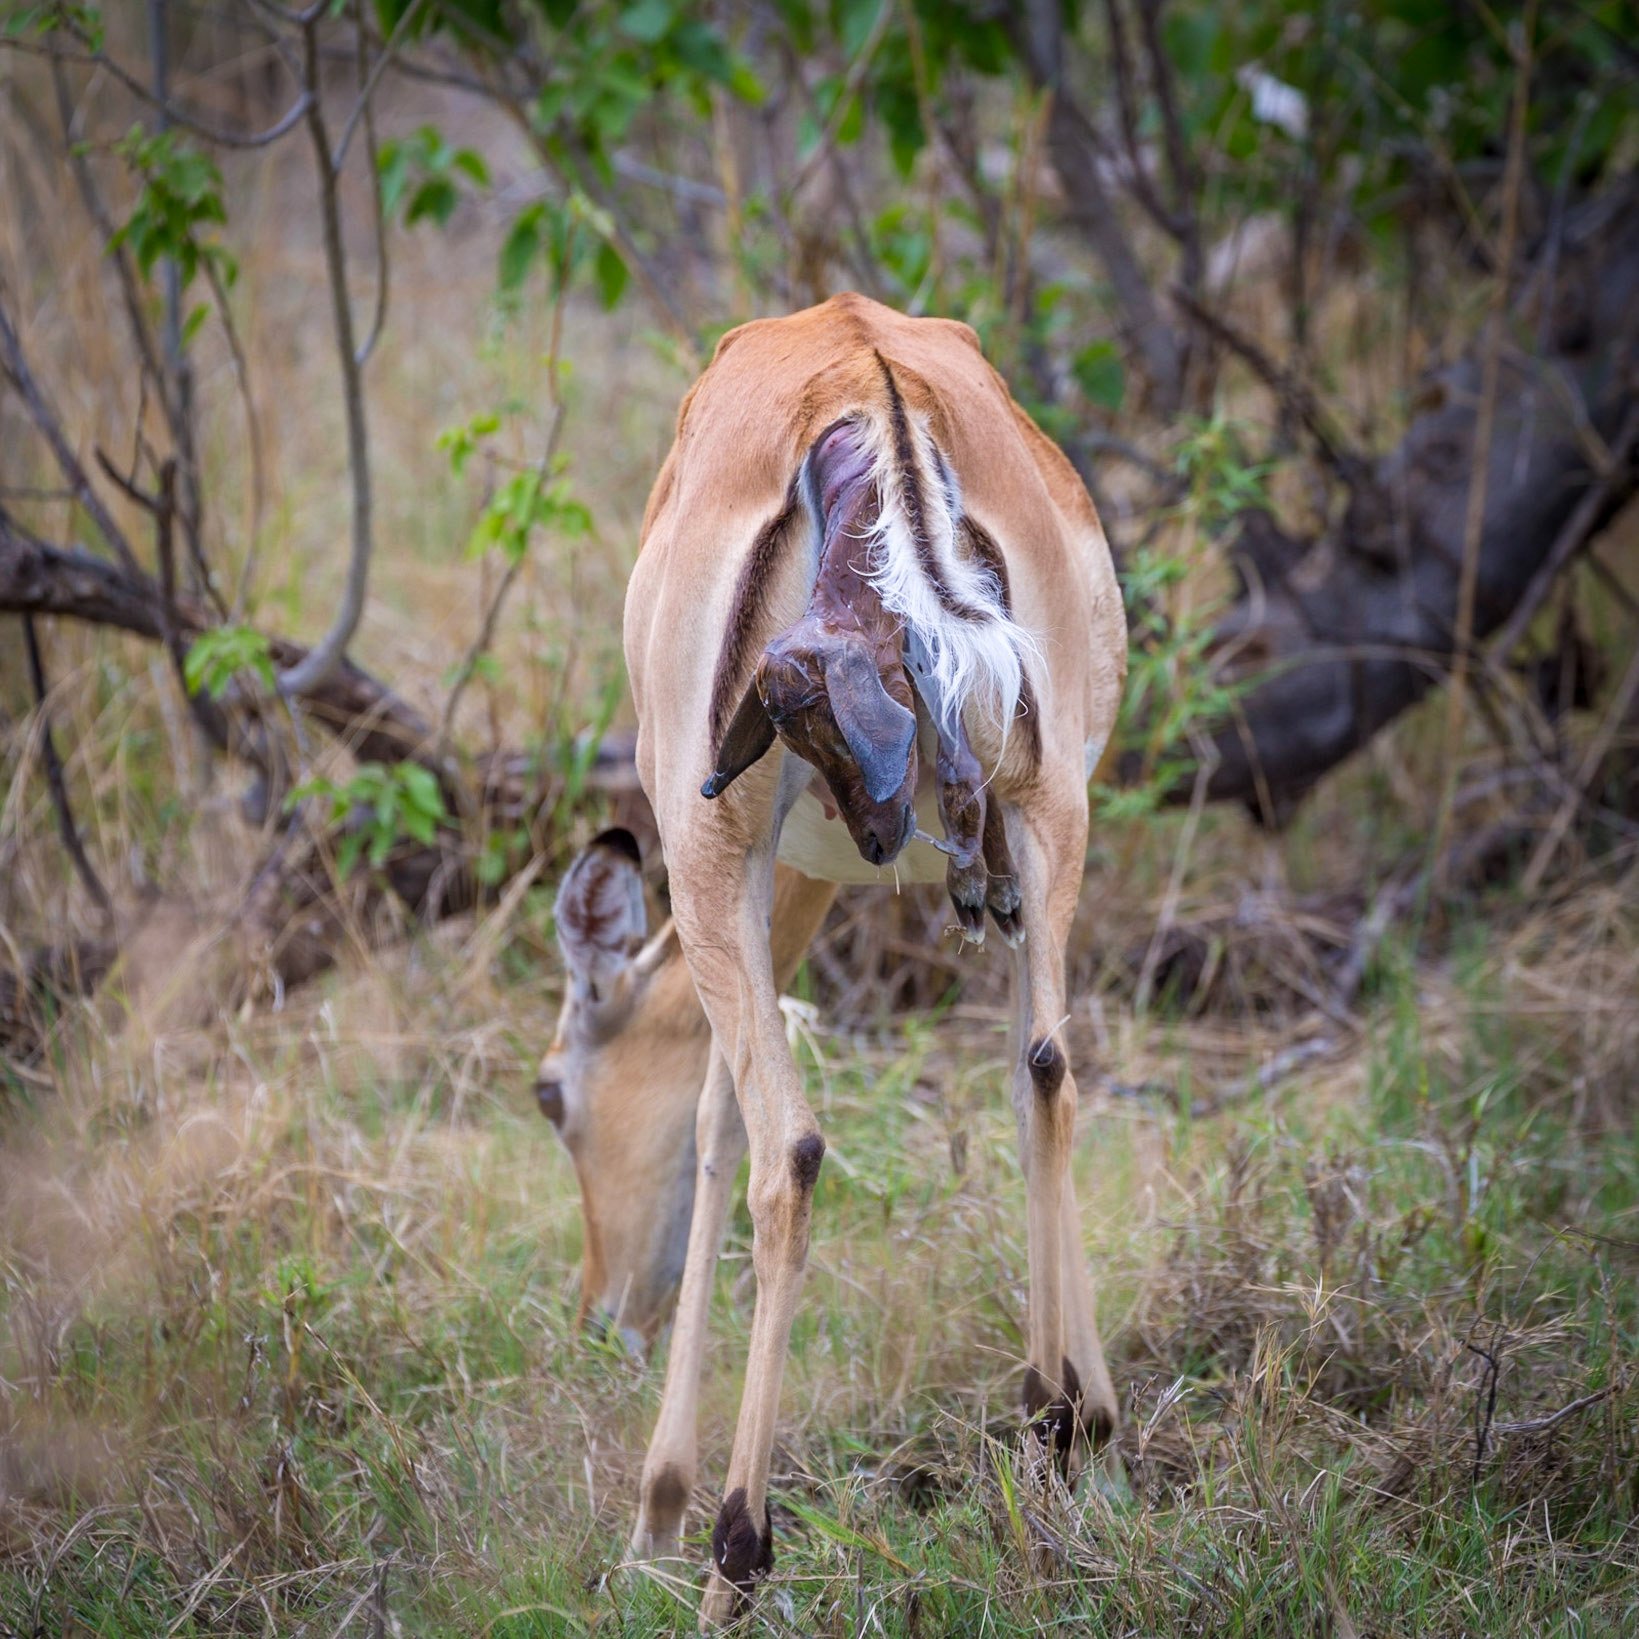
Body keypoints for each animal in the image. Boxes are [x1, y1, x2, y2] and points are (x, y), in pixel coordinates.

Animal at [535, 292, 1126, 1623]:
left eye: (549, 1097)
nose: (597, 1313)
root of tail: (870, 390)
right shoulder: (980, 871)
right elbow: (1027, 1074)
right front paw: (1087, 1411)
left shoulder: (755, 867)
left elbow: (712, 1126)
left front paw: (654, 1511)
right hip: (1044, 812)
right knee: (1049, 1073)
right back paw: (1052, 1448)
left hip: (715, 842)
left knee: (785, 1152)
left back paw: (732, 1555)